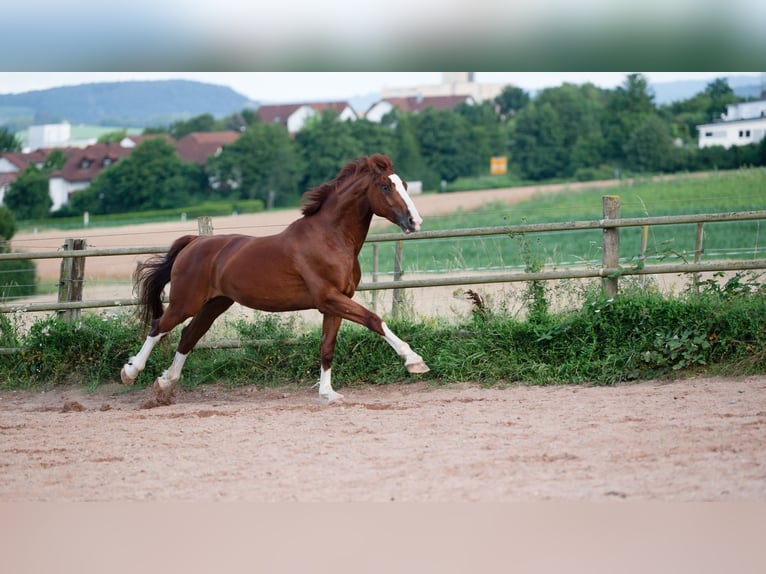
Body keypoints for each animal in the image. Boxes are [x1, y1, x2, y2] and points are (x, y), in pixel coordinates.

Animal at [121, 153, 432, 404]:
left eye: (404, 185)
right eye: (385, 186)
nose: (414, 222)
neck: (330, 238)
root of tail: (193, 242)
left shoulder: (335, 304)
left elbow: (327, 347)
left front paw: (328, 394)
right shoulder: (329, 298)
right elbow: (374, 320)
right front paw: (414, 361)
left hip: (215, 304)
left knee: (188, 335)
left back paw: (165, 384)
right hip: (186, 302)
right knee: (159, 326)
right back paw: (131, 373)